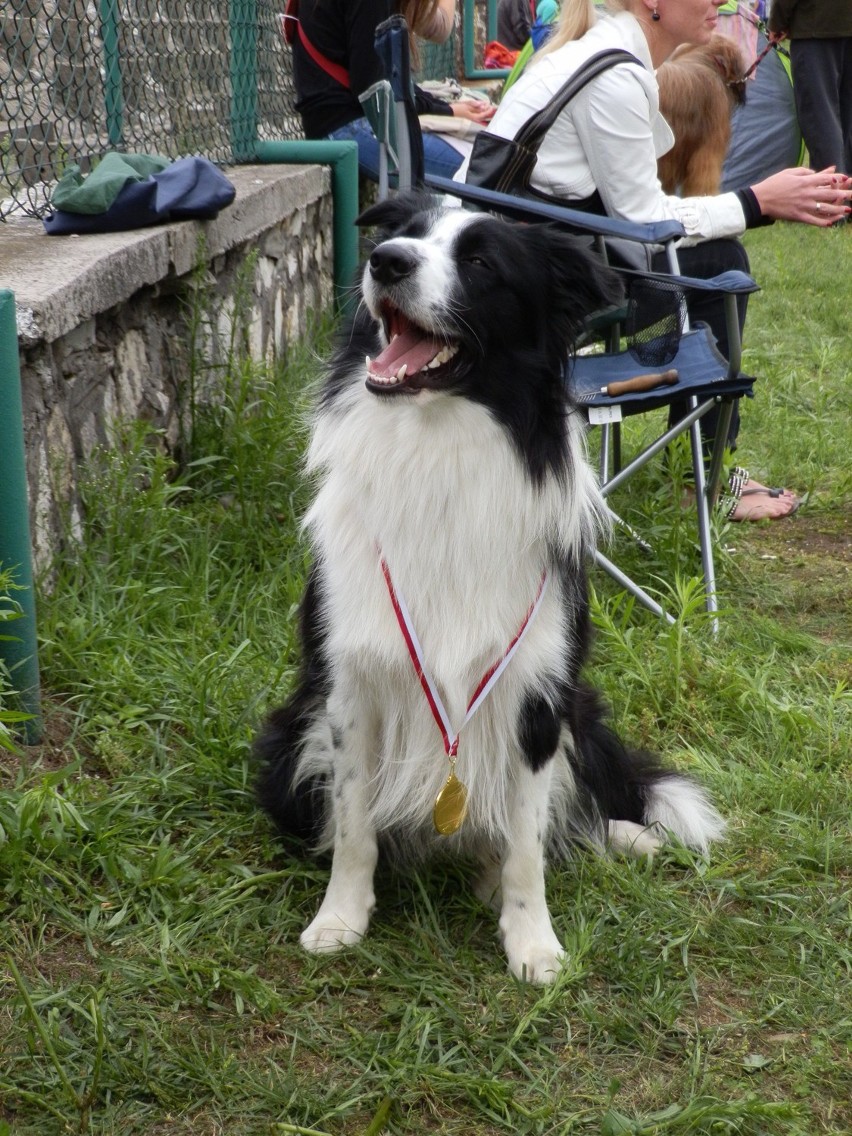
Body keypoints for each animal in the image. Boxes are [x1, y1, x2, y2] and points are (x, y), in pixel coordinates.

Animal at [255, 190, 727, 981]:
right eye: (405, 236)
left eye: (480, 263)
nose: (386, 263)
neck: (439, 448)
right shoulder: (348, 689)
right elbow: (353, 824)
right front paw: (340, 919)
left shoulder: (538, 692)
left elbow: (527, 843)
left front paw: (533, 943)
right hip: (290, 731)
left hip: (581, 710)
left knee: (582, 802)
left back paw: (625, 836)